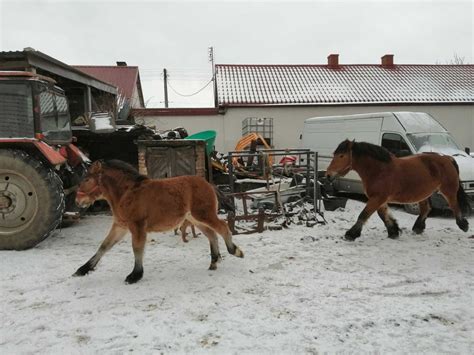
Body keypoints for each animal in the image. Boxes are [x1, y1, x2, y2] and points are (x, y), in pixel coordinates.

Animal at [75, 161, 244, 284]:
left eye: (87, 179)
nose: (77, 201)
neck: (126, 193)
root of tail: (209, 184)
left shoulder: (137, 226)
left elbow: (137, 248)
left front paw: (135, 275)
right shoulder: (120, 226)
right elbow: (104, 246)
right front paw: (83, 269)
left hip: (204, 215)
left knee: (223, 227)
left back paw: (235, 251)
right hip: (195, 219)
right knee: (212, 234)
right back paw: (214, 262)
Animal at [326, 139, 470, 242]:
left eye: (341, 156)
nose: (328, 175)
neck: (379, 170)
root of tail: (447, 158)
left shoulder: (377, 198)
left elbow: (364, 215)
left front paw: (351, 234)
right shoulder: (379, 199)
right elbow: (383, 215)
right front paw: (393, 232)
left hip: (448, 190)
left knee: (454, 205)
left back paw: (463, 225)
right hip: (423, 193)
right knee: (426, 209)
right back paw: (418, 228)